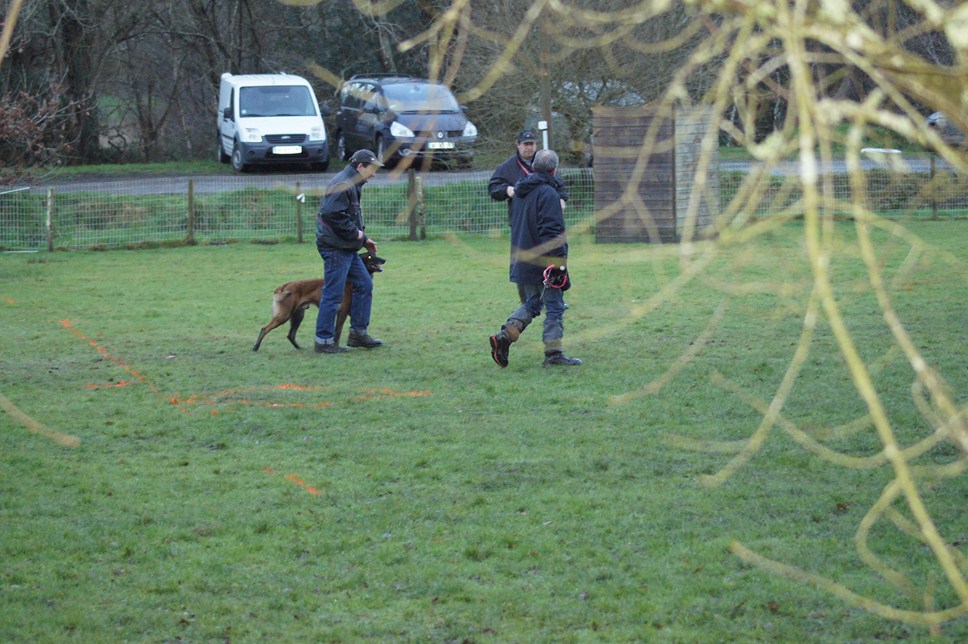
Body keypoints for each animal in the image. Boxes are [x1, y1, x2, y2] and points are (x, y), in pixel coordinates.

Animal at [253, 252, 386, 352]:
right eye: (369, 257)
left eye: (375, 254)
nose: (384, 260)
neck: (350, 282)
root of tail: (284, 285)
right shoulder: (342, 313)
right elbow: (337, 332)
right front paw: (336, 347)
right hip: (284, 315)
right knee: (264, 329)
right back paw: (256, 347)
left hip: (298, 316)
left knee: (290, 335)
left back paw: (300, 348)